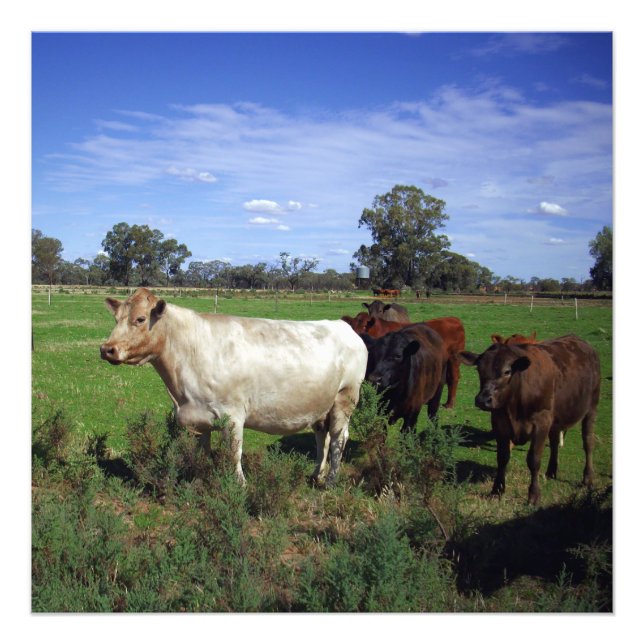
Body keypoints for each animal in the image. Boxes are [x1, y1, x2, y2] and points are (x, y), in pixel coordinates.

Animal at [100, 288, 368, 486]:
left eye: (140, 319)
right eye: (116, 319)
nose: (107, 349)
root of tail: (344, 326)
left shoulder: (232, 415)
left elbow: (233, 453)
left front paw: (239, 485)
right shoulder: (198, 419)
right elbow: (202, 454)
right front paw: (199, 481)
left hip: (345, 398)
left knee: (339, 438)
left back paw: (331, 481)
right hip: (322, 405)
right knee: (322, 436)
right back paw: (316, 475)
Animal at [459, 335, 600, 504]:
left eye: (507, 371)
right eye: (479, 369)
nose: (483, 400)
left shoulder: (541, 422)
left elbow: (534, 460)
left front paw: (534, 495)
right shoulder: (499, 422)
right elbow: (502, 457)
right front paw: (496, 490)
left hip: (591, 408)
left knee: (588, 442)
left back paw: (587, 479)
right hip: (556, 418)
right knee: (554, 442)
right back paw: (551, 472)